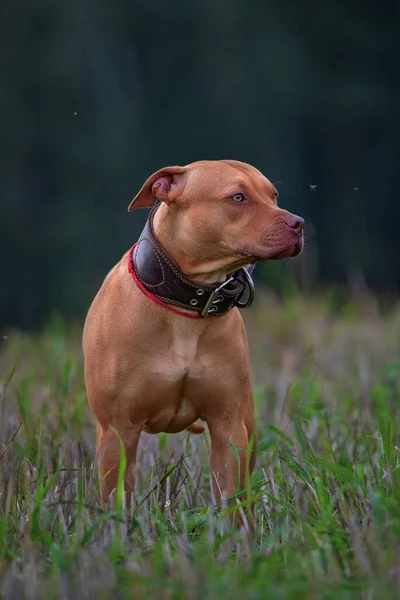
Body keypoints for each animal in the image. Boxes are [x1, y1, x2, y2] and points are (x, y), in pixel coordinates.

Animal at [83, 161, 304, 516]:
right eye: (238, 197)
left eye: (273, 195)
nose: (298, 223)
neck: (184, 304)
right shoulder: (118, 431)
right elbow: (117, 499)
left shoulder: (228, 427)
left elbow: (232, 499)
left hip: (249, 426)